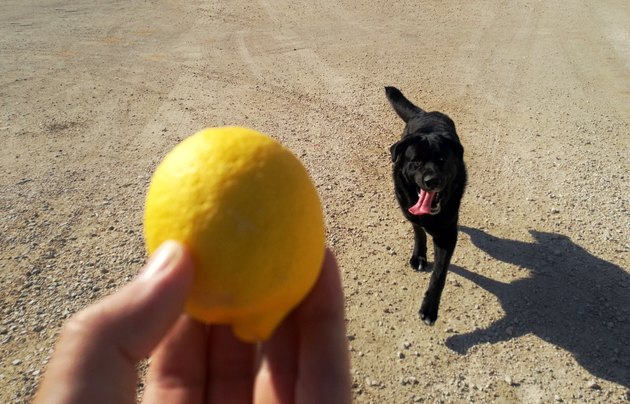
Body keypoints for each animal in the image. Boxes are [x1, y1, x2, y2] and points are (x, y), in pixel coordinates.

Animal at [386, 87, 470, 326]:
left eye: (442, 159)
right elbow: (418, 232)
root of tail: (424, 113)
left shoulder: (447, 235)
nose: (432, 180)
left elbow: (439, 274)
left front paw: (430, 308)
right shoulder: (410, 212)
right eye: (416, 161)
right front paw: (420, 256)